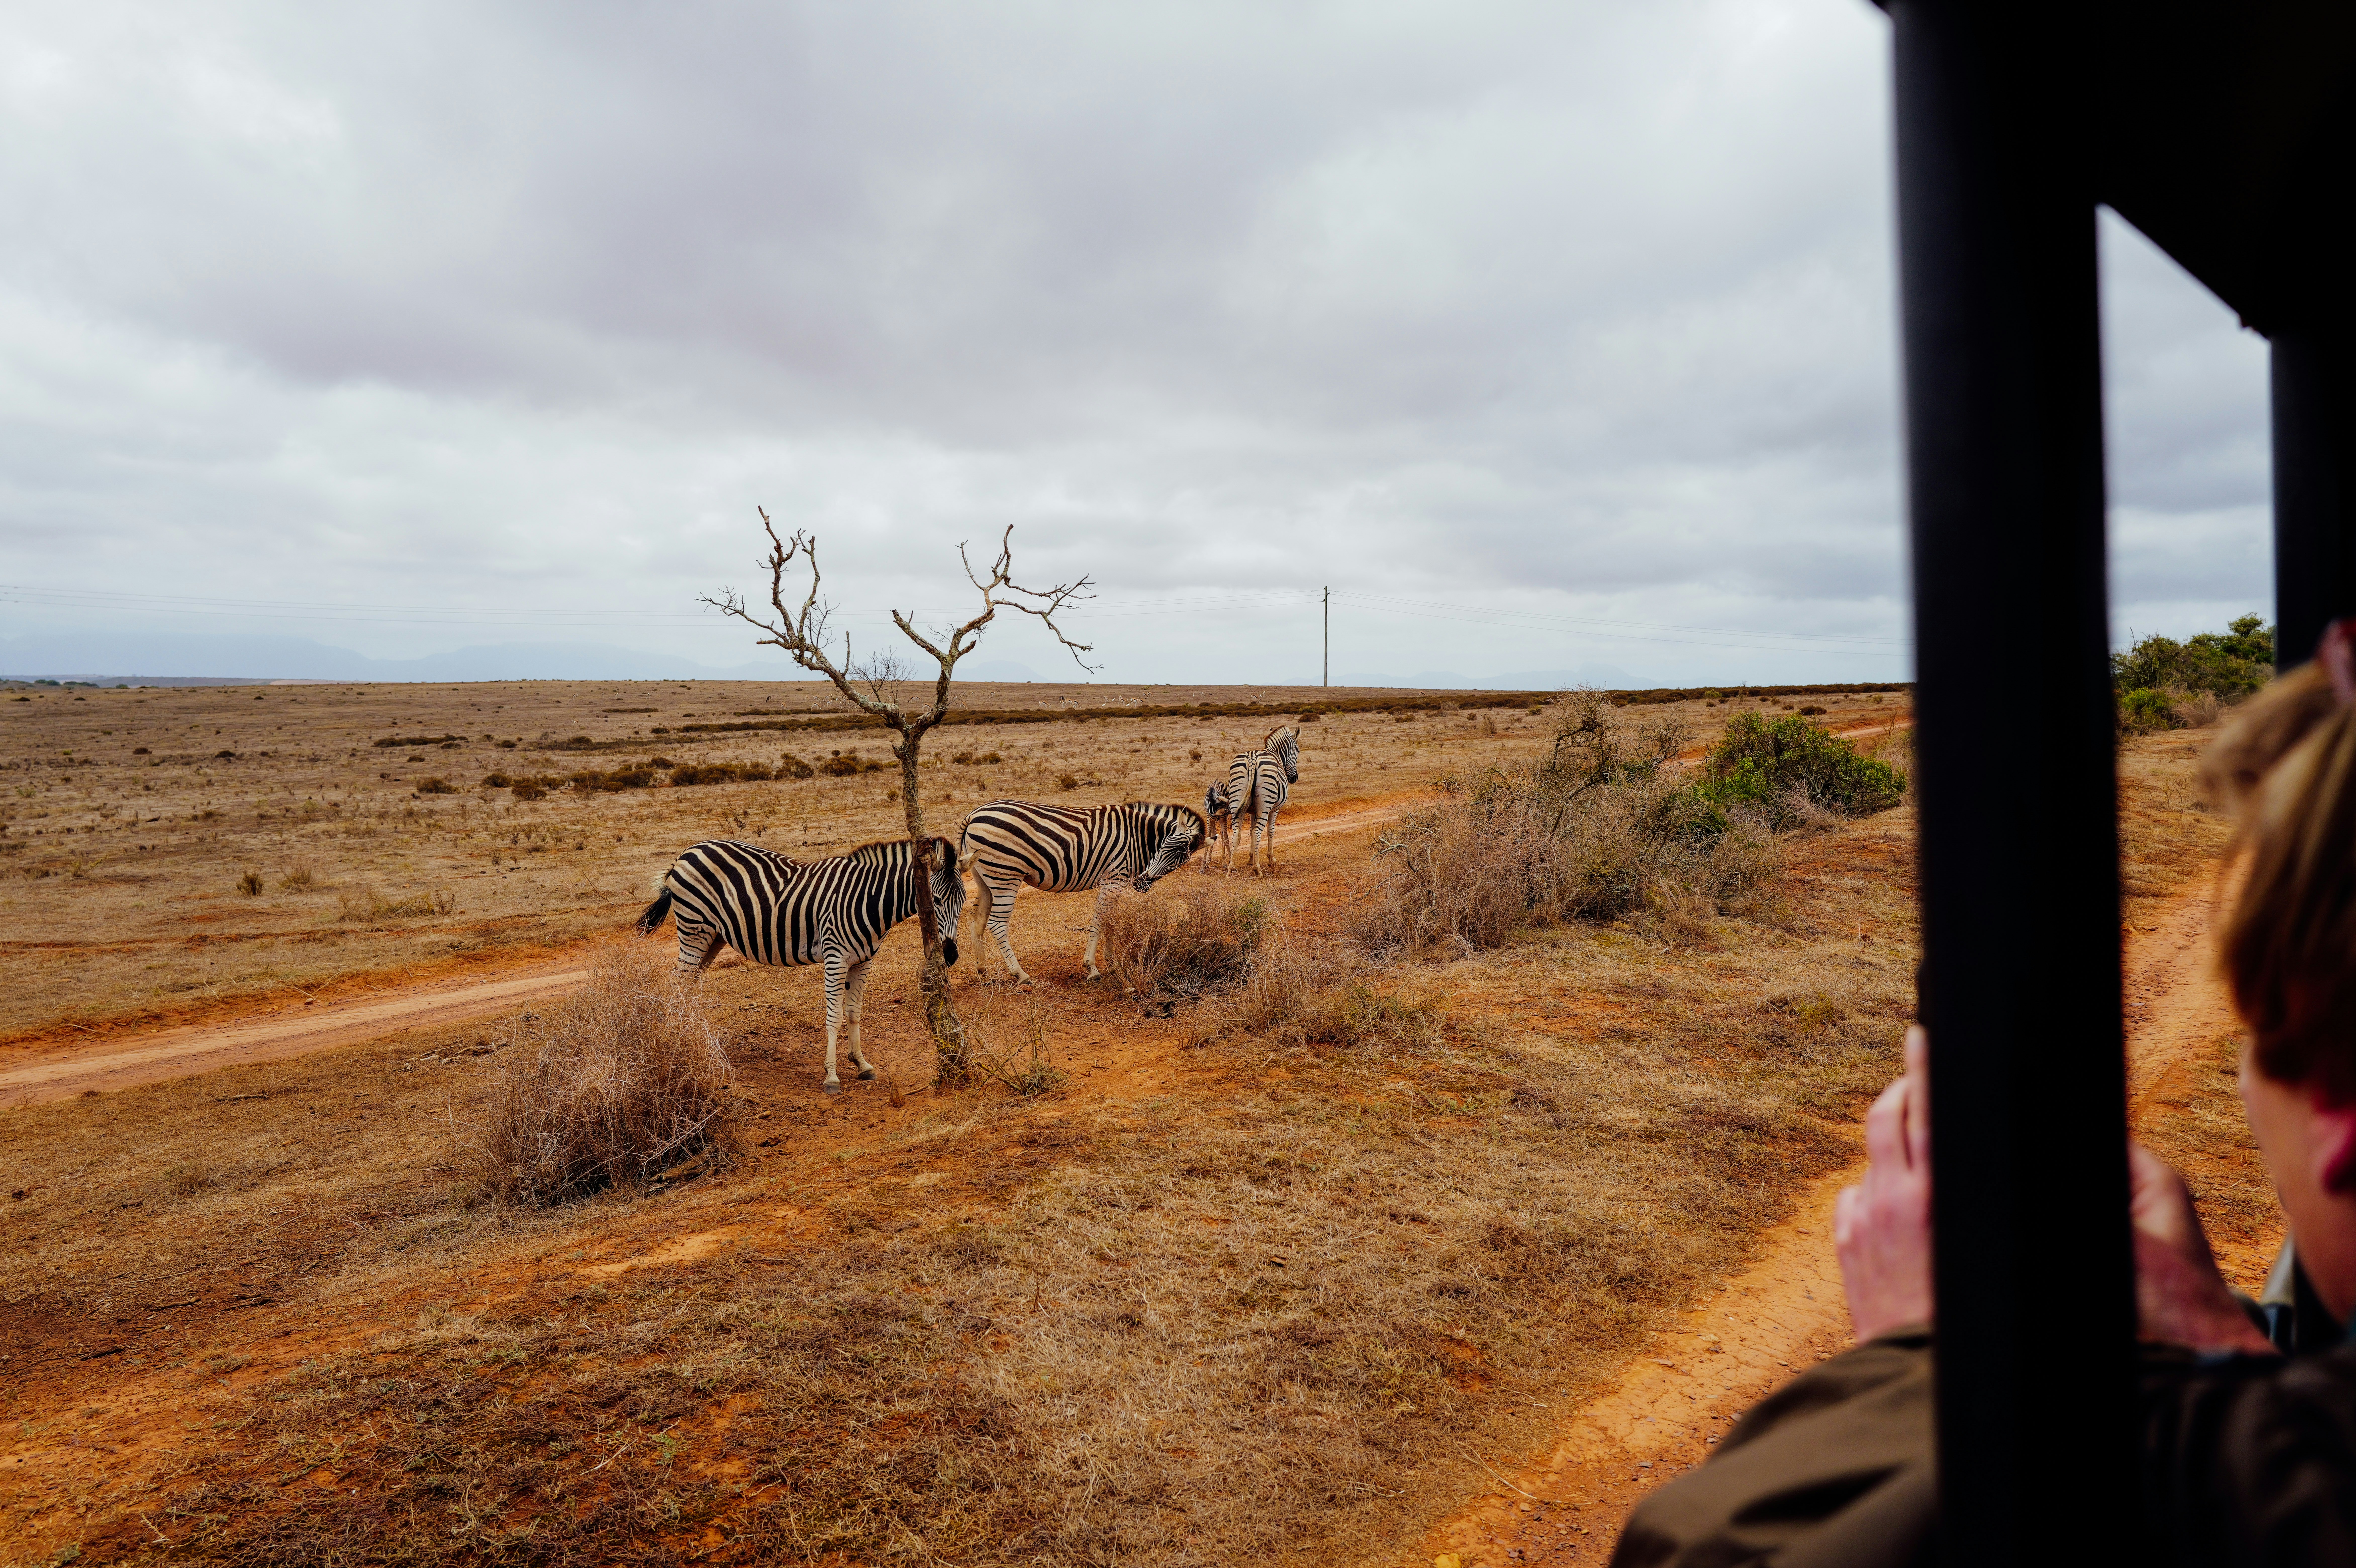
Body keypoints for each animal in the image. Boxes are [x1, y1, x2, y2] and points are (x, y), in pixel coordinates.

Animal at [635, 836, 966, 1092]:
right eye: (936, 901)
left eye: (963, 901)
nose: (950, 955)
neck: (869, 901)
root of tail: (687, 852)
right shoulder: (835, 957)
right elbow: (834, 1017)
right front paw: (832, 1076)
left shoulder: (863, 962)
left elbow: (854, 1013)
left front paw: (861, 1063)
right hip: (695, 928)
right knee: (680, 981)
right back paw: (682, 1037)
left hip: (713, 936)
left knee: (688, 984)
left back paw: (695, 1035)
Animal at [958, 799, 1205, 982]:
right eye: (1166, 846)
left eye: (1181, 861)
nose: (1142, 884)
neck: (1137, 838)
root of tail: (973, 815)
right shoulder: (1114, 879)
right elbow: (1101, 919)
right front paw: (1093, 967)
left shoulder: (1117, 882)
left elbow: (1110, 920)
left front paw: (1112, 963)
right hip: (1006, 875)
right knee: (997, 924)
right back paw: (1020, 974)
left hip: (984, 876)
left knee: (977, 920)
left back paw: (982, 970)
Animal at [1213, 723, 1300, 876]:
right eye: (1299, 751)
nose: (1294, 779)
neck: (1275, 753)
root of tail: (1252, 758)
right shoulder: (1275, 810)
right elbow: (1270, 831)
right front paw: (1271, 860)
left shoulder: (1253, 811)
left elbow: (1250, 831)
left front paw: (1251, 859)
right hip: (1266, 805)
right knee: (1258, 832)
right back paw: (1257, 870)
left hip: (1237, 801)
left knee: (1238, 833)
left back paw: (1231, 869)